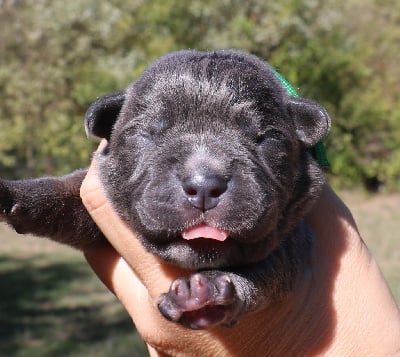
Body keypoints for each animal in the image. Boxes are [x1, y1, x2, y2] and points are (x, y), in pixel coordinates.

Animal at [0, 49, 330, 328]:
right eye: (147, 133)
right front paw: (14, 194)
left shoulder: (296, 240)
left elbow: (266, 271)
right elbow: (67, 195)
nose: (204, 185)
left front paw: (207, 294)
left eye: (264, 138)